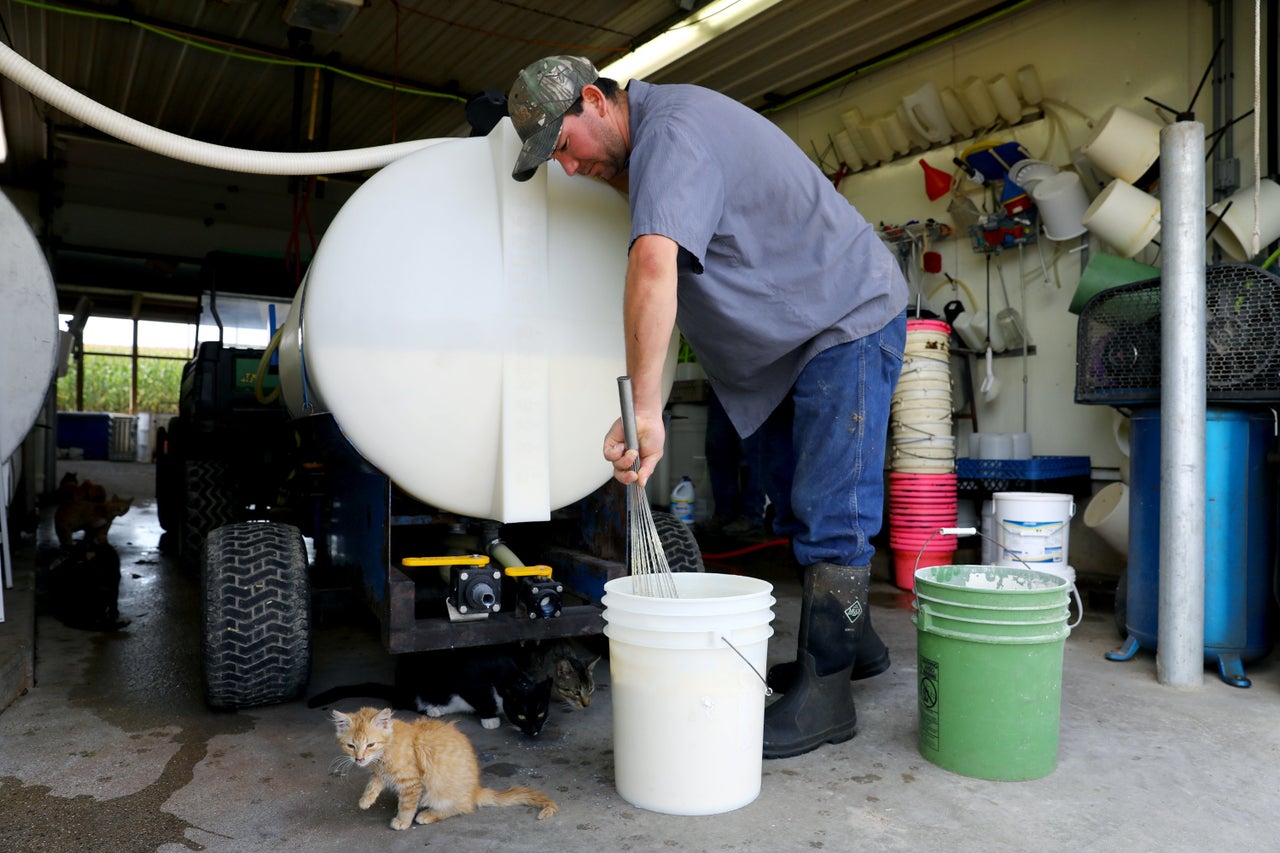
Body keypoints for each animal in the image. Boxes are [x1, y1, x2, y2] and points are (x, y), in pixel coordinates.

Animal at [311, 640, 555, 732]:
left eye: (540, 713)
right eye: (522, 715)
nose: (534, 730)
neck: (508, 677)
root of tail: (398, 686)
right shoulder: (466, 679)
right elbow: (481, 698)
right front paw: (490, 718)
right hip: (415, 682)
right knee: (402, 703)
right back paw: (433, 709)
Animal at [327, 701, 558, 829]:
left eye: (370, 745)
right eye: (351, 746)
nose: (359, 759)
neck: (387, 750)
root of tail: (475, 790)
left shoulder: (412, 782)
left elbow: (407, 804)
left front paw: (403, 820)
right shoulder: (382, 773)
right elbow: (374, 782)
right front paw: (366, 800)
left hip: (439, 791)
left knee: (462, 807)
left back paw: (427, 814)